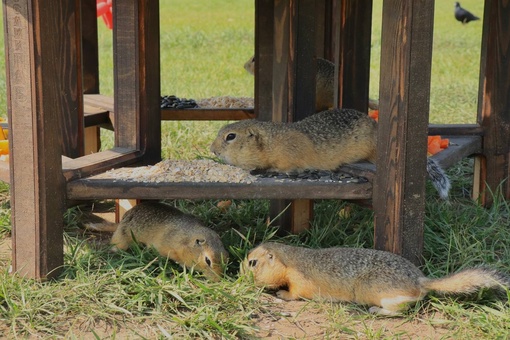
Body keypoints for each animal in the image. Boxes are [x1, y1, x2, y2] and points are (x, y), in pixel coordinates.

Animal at [85, 201, 227, 280]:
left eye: (227, 260)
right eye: (208, 261)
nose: (218, 279)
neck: (186, 241)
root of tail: (120, 222)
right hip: (123, 236)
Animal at [241, 242, 508, 316]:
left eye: (253, 262)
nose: (240, 275)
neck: (291, 258)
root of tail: (420, 281)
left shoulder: (300, 280)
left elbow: (295, 293)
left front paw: (281, 294)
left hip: (377, 291)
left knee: (400, 309)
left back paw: (376, 311)